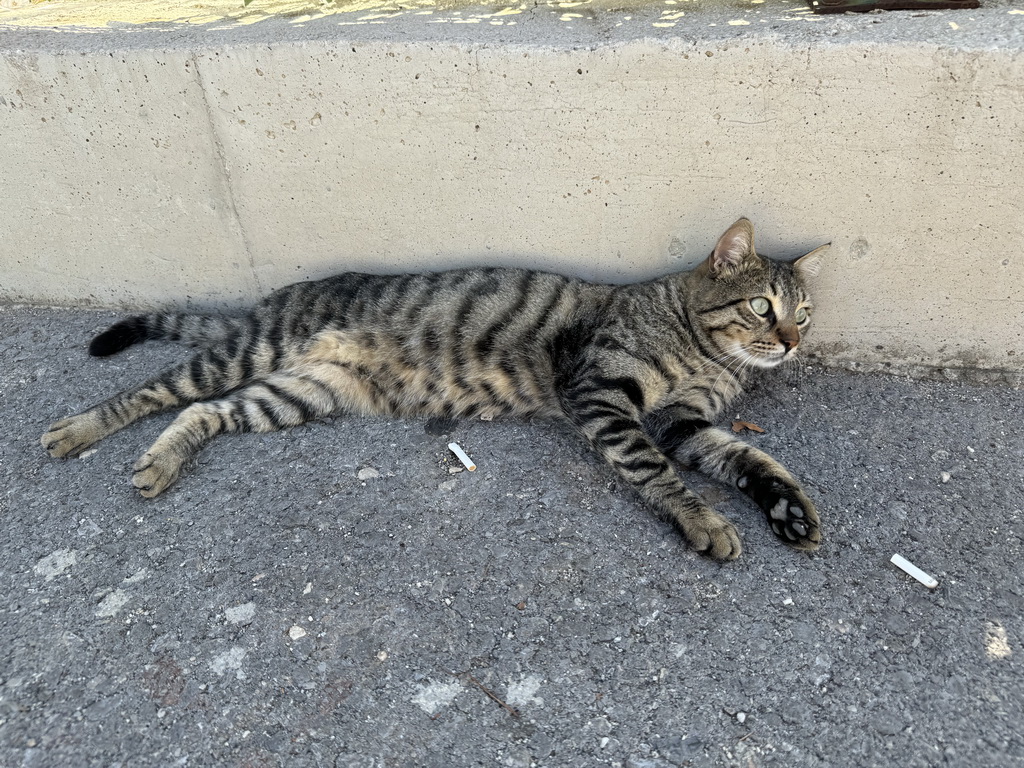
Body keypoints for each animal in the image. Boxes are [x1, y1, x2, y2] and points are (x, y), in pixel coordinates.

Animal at [39, 217, 827, 561]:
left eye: (805, 312)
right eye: (763, 307)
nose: (793, 341)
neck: (710, 355)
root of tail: (272, 300)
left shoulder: (683, 421)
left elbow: (748, 458)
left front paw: (786, 506)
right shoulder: (601, 392)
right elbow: (655, 469)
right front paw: (701, 519)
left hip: (299, 392)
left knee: (204, 410)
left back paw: (162, 460)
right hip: (249, 354)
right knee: (155, 391)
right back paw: (77, 429)